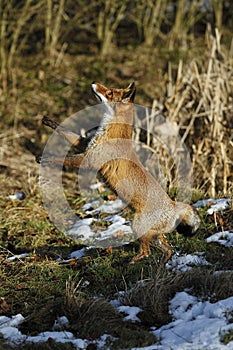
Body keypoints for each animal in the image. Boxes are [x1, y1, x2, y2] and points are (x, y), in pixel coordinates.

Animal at [36, 82, 200, 262]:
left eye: (109, 92)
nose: (94, 83)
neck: (110, 132)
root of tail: (173, 206)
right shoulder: (86, 145)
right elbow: (66, 132)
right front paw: (49, 121)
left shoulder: (88, 159)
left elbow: (63, 159)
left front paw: (44, 159)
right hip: (153, 235)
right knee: (167, 249)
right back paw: (162, 264)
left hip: (137, 226)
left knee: (146, 252)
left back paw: (131, 262)